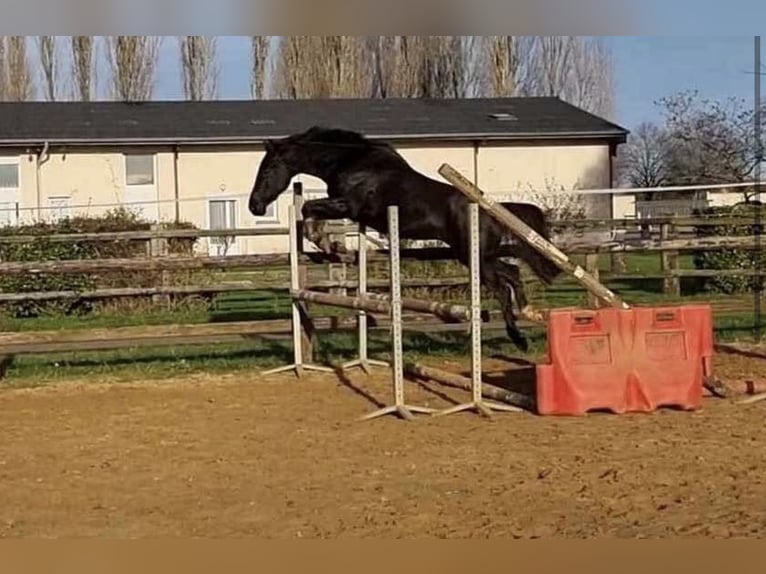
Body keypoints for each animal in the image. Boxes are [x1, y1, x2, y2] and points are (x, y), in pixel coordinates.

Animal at [248, 126, 561, 352]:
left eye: (267, 169)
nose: (255, 206)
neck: (354, 164)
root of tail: (492, 209)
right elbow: (309, 210)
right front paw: (329, 244)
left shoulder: (349, 206)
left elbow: (308, 208)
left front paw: (321, 240)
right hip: (478, 255)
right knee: (513, 273)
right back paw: (530, 313)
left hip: (474, 257)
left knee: (502, 286)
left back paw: (519, 338)